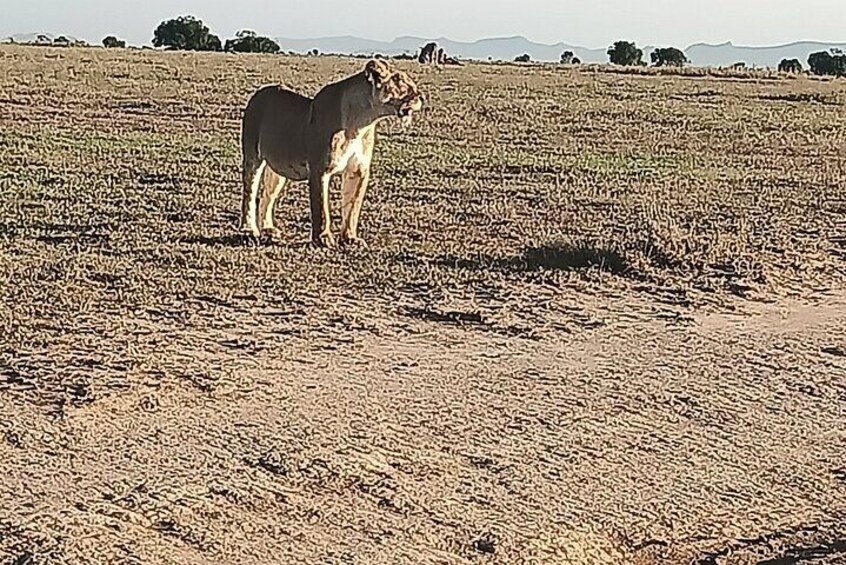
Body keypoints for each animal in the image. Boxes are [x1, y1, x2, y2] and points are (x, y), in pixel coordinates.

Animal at [239, 59, 425, 248]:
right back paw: (249, 230)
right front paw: (323, 238)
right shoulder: (319, 169)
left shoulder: (358, 170)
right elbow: (321, 208)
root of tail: (259, 93)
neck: (360, 123)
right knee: (250, 194)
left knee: (266, 195)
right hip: (253, 156)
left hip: (277, 169)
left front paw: (350, 238)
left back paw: (269, 230)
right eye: (400, 81)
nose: (421, 97)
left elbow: (353, 207)